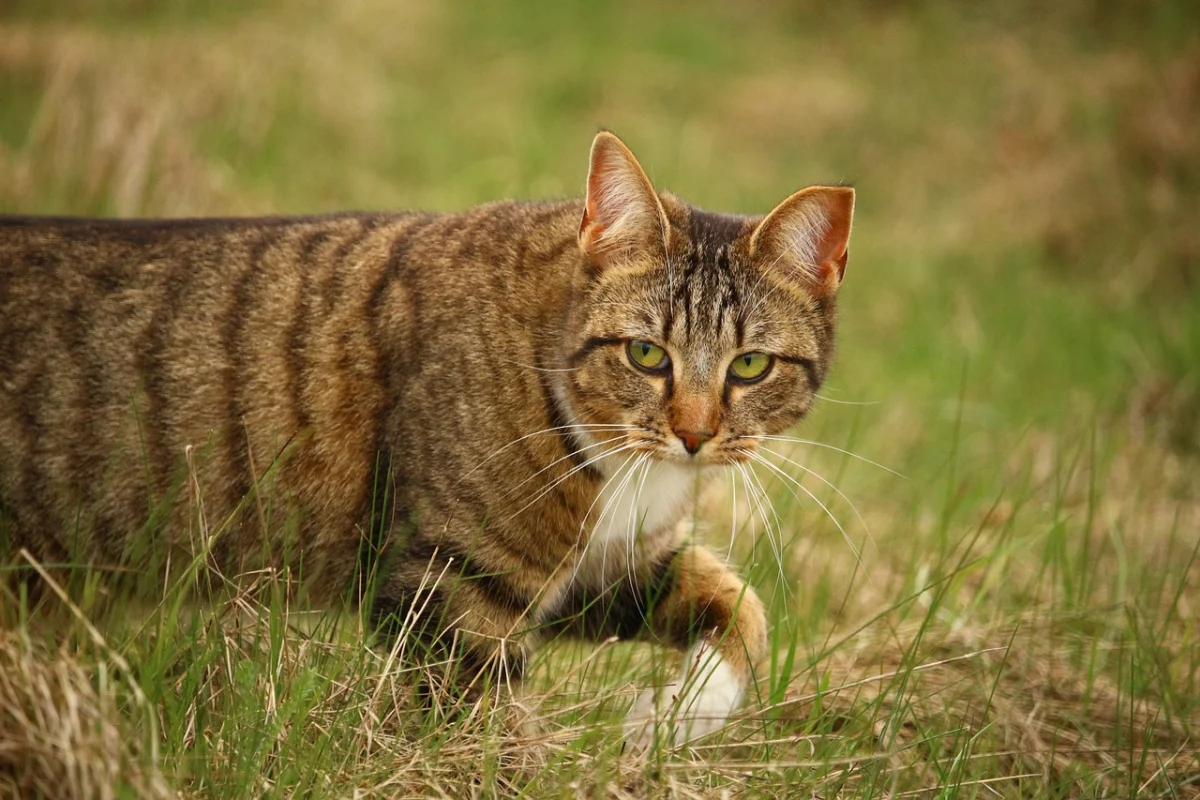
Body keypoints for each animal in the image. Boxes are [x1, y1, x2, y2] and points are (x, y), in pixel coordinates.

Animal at [4, 130, 859, 743]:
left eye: (749, 366)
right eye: (647, 354)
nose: (694, 434)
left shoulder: (600, 572)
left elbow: (742, 608)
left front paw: (675, 718)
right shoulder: (457, 588)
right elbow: (483, 735)